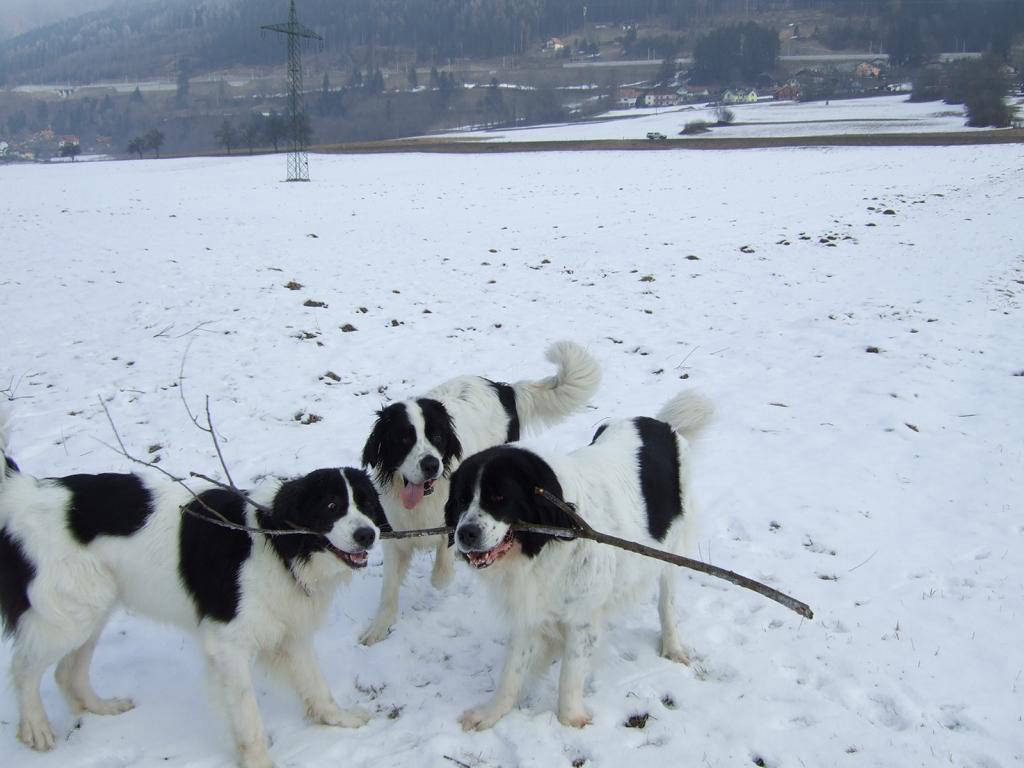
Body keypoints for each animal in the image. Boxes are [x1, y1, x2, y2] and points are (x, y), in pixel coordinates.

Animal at [0, 429, 384, 768]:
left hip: (91, 606)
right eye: (332, 505)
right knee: (24, 667)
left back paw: (101, 708)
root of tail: (24, 492)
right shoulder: (229, 644)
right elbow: (248, 717)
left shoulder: (290, 631)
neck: (277, 541)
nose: (368, 535)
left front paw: (339, 719)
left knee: (67, 671)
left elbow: (316, 685)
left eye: (365, 504)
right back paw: (35, 728)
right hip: (67, 614)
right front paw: (258, 762)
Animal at [358, 340, 601, 645]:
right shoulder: (397, 531)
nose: (431, 464)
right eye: (403, 439)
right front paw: (378, 628)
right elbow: (389, 587)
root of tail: (503, 389)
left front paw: (447, 569)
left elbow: (442, 568)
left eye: (437, 437)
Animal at [443, 390, 714, 730]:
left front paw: (570, 721)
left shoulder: (582, 616)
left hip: (671, 551)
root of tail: (662, 424)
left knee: (667, 602)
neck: (549, 539)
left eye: (499, 498)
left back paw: (672, 646)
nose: (465, 533)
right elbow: (512, 670)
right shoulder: (529, 607)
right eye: (462, 500)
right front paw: (492, 713)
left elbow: (570, 673)